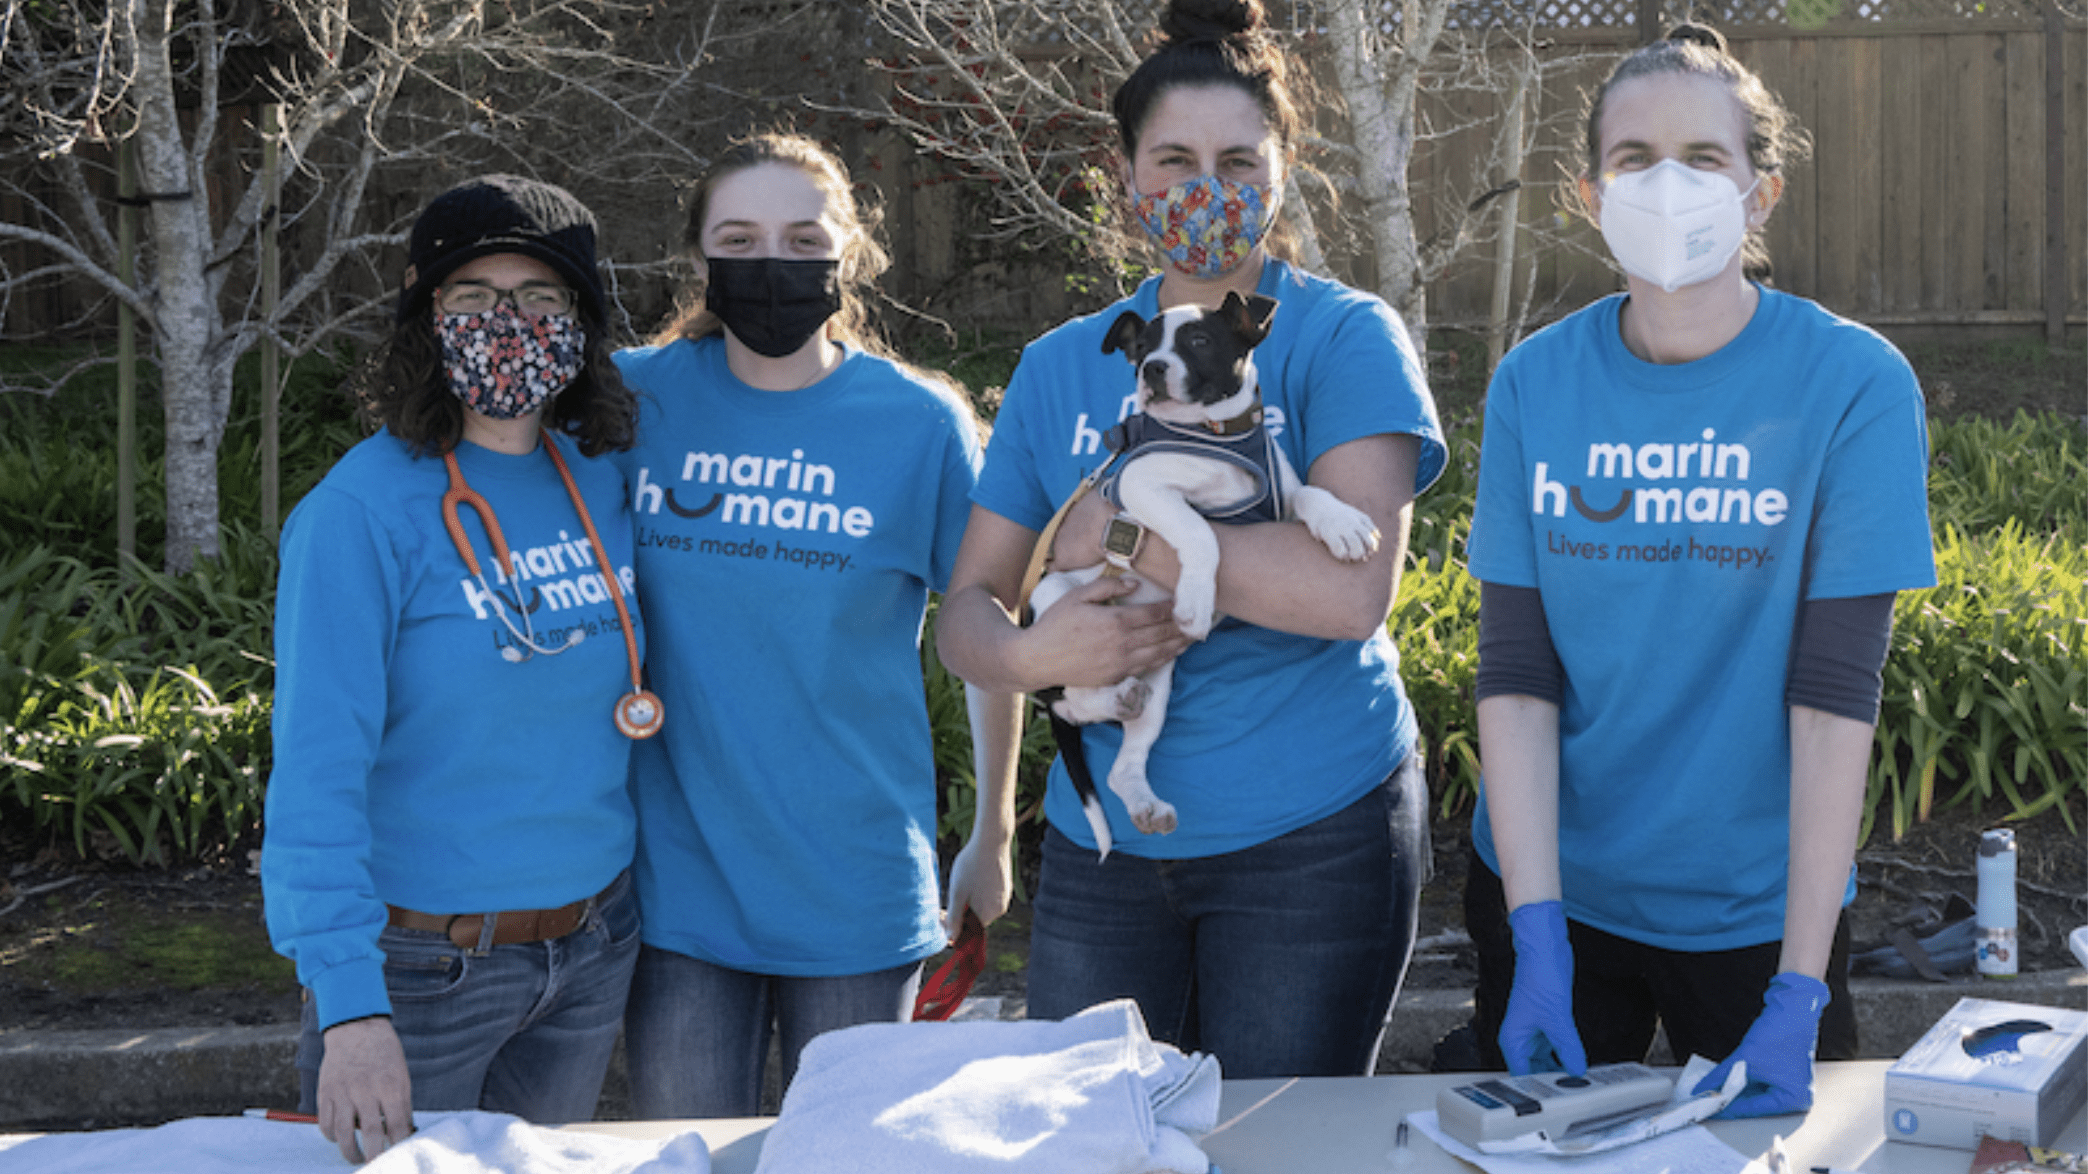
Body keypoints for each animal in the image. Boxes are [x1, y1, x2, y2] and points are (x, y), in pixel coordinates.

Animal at [1031, 286, 1386, 848]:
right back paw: (1107, 696)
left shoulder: (1281, 501)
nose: (1151, 368)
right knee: (1069, 694)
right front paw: (1197, 599)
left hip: (1159, 684)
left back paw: (1144, 795)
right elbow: (1200, 531)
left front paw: (1342, 521)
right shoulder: (1141, 488)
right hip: (1054, 611)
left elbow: (1309, 493)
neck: (1217, 436)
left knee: (1122, 757)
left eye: (1199, 340)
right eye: (1141, 348)